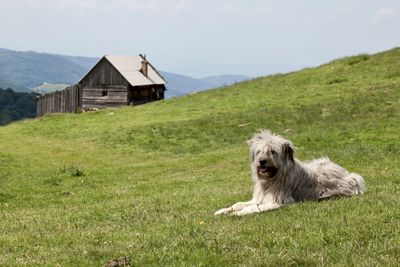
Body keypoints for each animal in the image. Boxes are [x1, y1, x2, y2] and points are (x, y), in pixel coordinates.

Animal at [216, 131, 366, 217]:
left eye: (273, 152)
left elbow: (253, 208)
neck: (272, 179)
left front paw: (237, 213)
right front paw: (223, 210)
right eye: (259, 151)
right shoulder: (258, 198)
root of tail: (345, 171)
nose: (262, 161)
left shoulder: (278, 202)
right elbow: (240, 203)